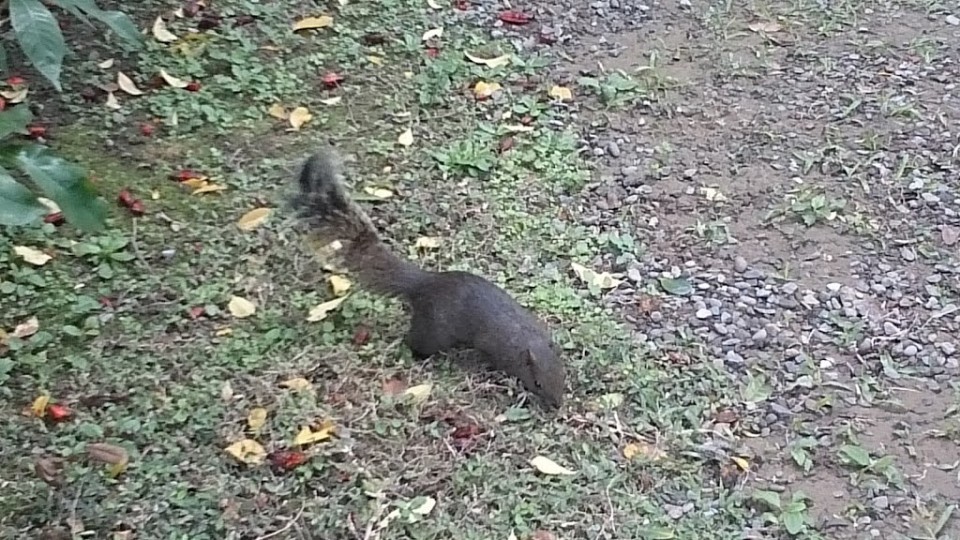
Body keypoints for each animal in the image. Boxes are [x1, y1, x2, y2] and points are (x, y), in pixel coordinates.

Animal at [288, 148, 568, 410]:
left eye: (563, 376)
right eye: (537, 383)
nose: (557, 405)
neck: (526, 339)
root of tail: (423, 283)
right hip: (432, 331)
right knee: (415, 341)